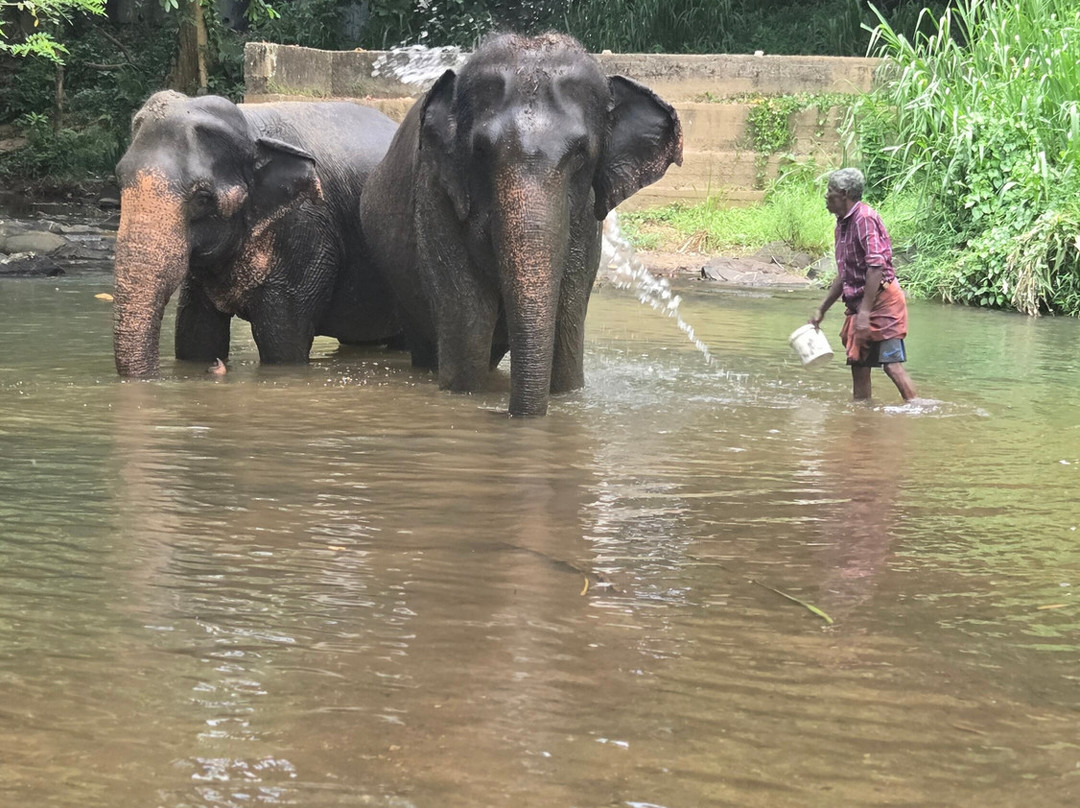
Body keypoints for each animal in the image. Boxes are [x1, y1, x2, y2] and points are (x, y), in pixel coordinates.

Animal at [112, 91, 401, 377]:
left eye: (203, 198)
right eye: (119, 180)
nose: (215, 368)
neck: (251, 128)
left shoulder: (305, 236)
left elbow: (282, 346)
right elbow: (196, 338)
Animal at [360, 33, 682, 416]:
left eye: (580, 154)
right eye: (481, 151)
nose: (515, 415)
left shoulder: (587, 219)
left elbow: (568, 322)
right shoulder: (435, 195)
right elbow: (470, 325)